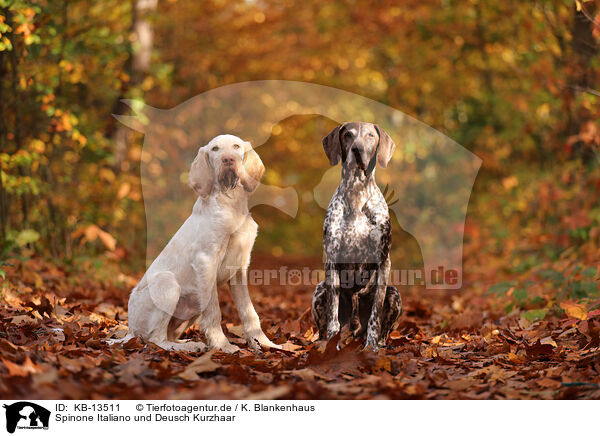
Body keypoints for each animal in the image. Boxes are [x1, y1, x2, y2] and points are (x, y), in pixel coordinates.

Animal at [114, 135, 282, 352]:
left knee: (167, 335)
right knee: (157, 339)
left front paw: (264, 343)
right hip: (167, 283)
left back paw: (186, 343)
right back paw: (190, 347)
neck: (231, 203)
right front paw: (223, 346)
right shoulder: (207, 262)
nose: (228, 159)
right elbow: (214, 311)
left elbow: (249, 311)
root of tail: (130, 331)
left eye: (236, 146)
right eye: (215, 149)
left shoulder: (239, 268)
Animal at [310, 122, 404, 350]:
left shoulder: (383, 262)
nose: (357, 150)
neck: (356, 193)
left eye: (370, 135)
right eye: (348, 135)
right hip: (319, 290)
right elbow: (333, 314)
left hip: (394, 294)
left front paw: (371, 346)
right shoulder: (332, 259)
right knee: (323, 326)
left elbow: (375, 315)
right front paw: (331, 343)